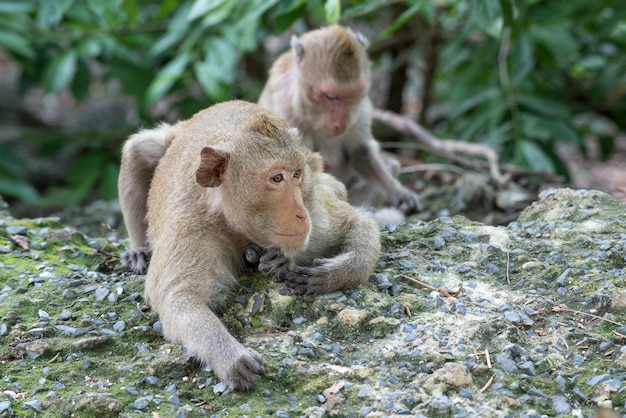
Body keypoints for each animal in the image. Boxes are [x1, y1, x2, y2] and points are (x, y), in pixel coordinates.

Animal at [117, 99, 380, 390]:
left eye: (296, 174)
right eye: (277, 178)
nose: (301, 214)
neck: (228, 216)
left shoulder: (316, 215)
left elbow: (358, 223)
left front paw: (330, 274)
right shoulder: (189, 228)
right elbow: (176, 297)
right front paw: (229, 356)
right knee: (139, 150)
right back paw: (140, 250)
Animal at [258, 25, 420, 214]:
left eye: (352, 96)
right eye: (331, 96)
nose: (340, 124)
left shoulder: (361, 111)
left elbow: (360, 152)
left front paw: (400, 193)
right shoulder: (284, 111)